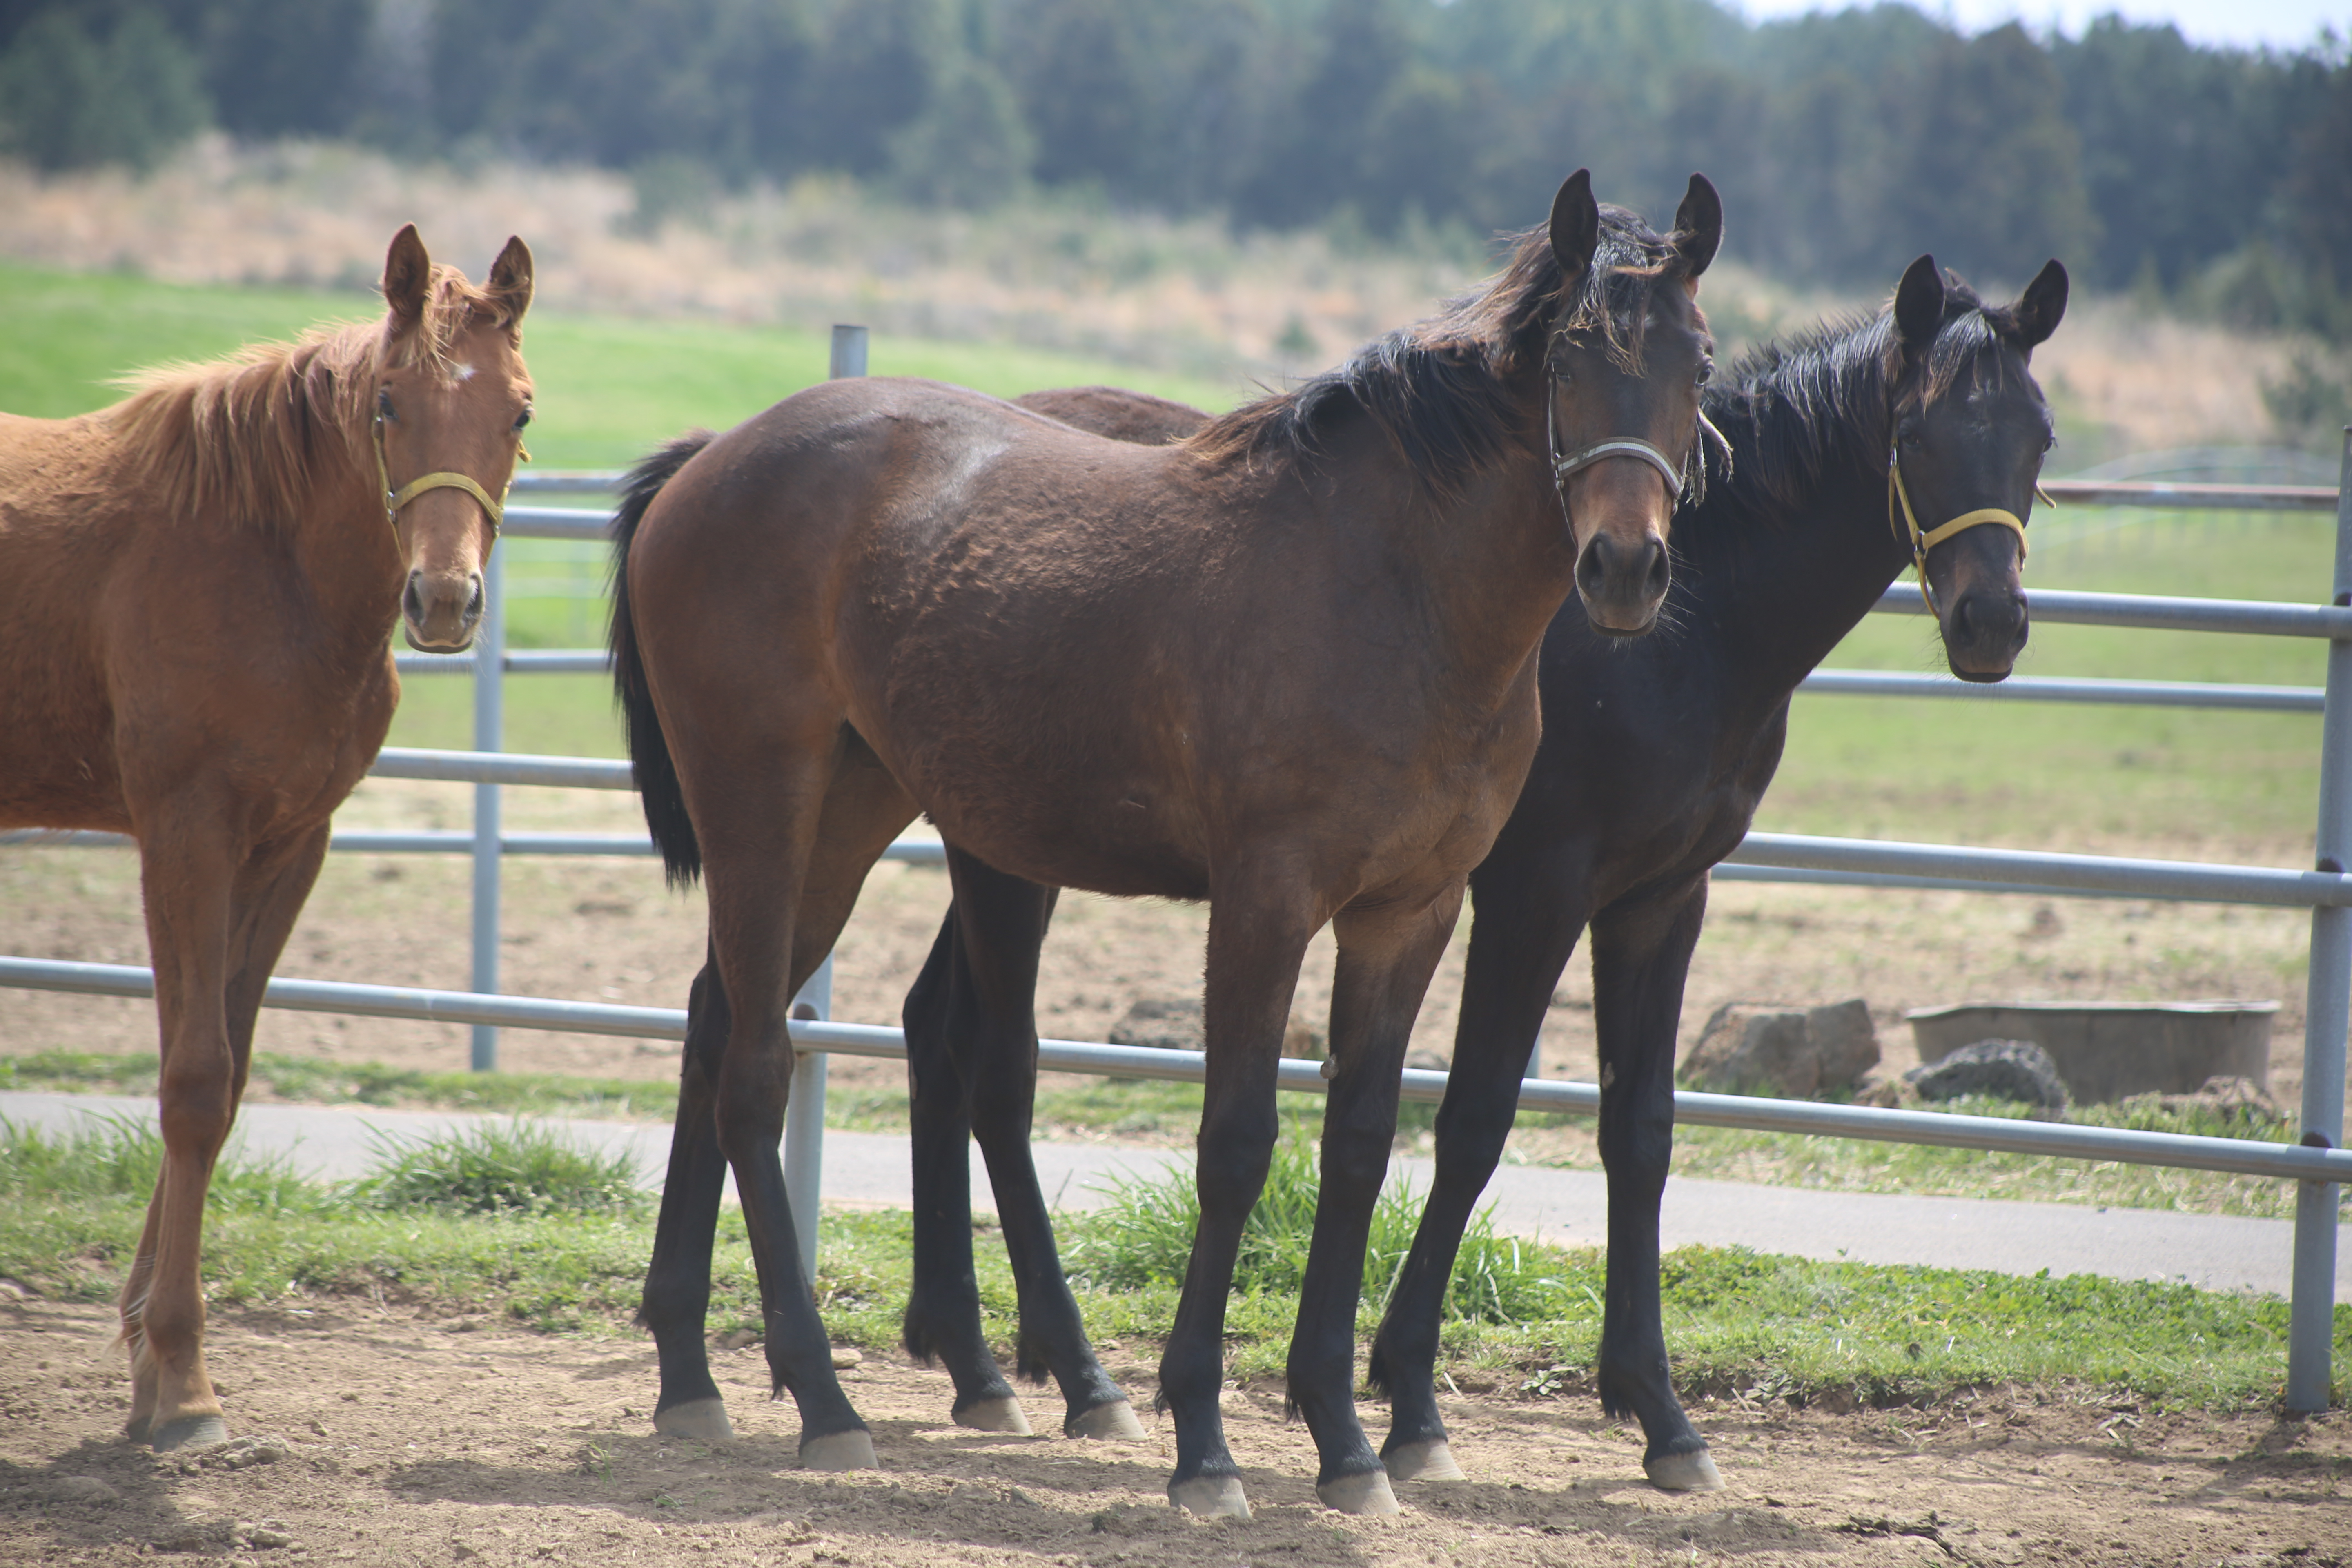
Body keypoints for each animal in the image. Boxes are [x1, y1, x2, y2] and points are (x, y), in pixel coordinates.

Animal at [0, 227, 539, 1457]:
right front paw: (185, 1382)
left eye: (520, 412)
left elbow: (229, 1069)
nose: (446, 602)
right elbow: (193, 1080)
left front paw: (147, 1360)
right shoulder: (185, 832)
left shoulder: (288, 844)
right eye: (388, 403)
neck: (262, 561)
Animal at [611, 175, 1731, 1523]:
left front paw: (1347, 1441)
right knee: (759, 1068)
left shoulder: (1409, 912)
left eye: (1700, 362)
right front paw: (1205, 1441)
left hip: (843, 815)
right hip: (761, 804)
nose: (1626, 567)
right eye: (1570, 358)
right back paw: (824, 1400)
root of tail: (710, 459)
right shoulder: (1266, 900)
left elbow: (1359, 1146)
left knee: (718, 1020)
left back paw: (689, 1373)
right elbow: (1237, 1144)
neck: (1393, 591)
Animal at [889, 248, 2069, 1495]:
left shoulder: (1660, 900)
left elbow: (1638, 1133)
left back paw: (975, 1352)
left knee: (934, 1028)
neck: (1680, 630)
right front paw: (1408, 1402)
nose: (1991, 623)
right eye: (1918, 433)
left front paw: (1658, 1413)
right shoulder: (1532, 893)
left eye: (2037, 435)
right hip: (1001, 846)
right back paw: (1063, 1371)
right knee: (987, 1060)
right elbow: (1472, 1123)